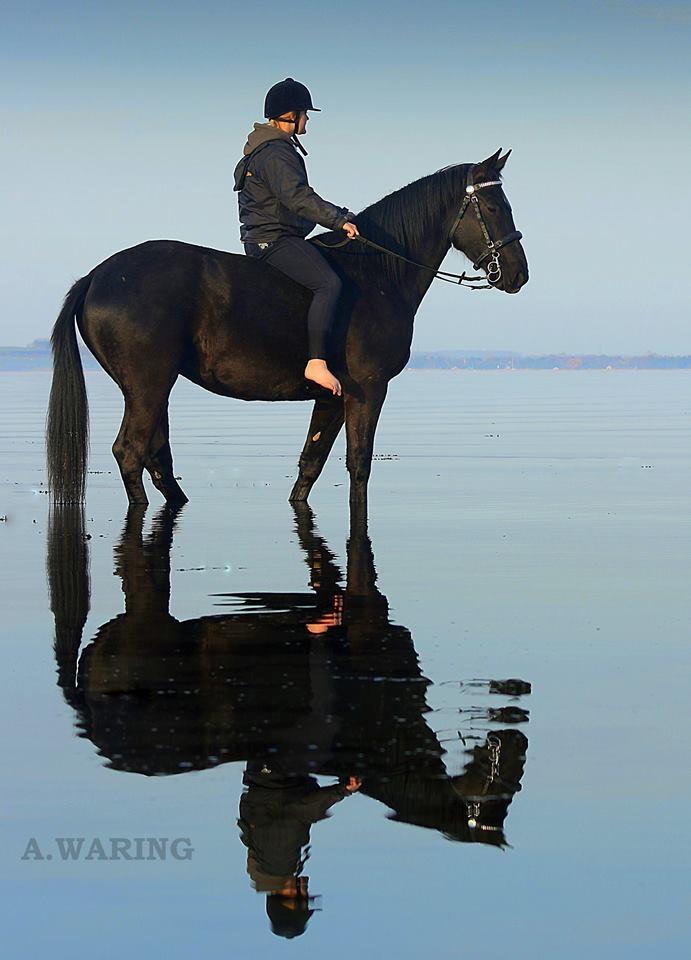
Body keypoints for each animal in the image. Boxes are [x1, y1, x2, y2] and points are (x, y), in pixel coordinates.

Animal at [46, 150, 528, 510]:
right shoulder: (369, 391)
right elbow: (359, 466)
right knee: (130, 452)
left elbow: (311, 463)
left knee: (156, 455)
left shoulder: (333, 397)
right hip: (147, 385)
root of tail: (96, 277)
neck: (378, 274)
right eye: (494, 207)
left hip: (152, 387)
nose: (518, 274)